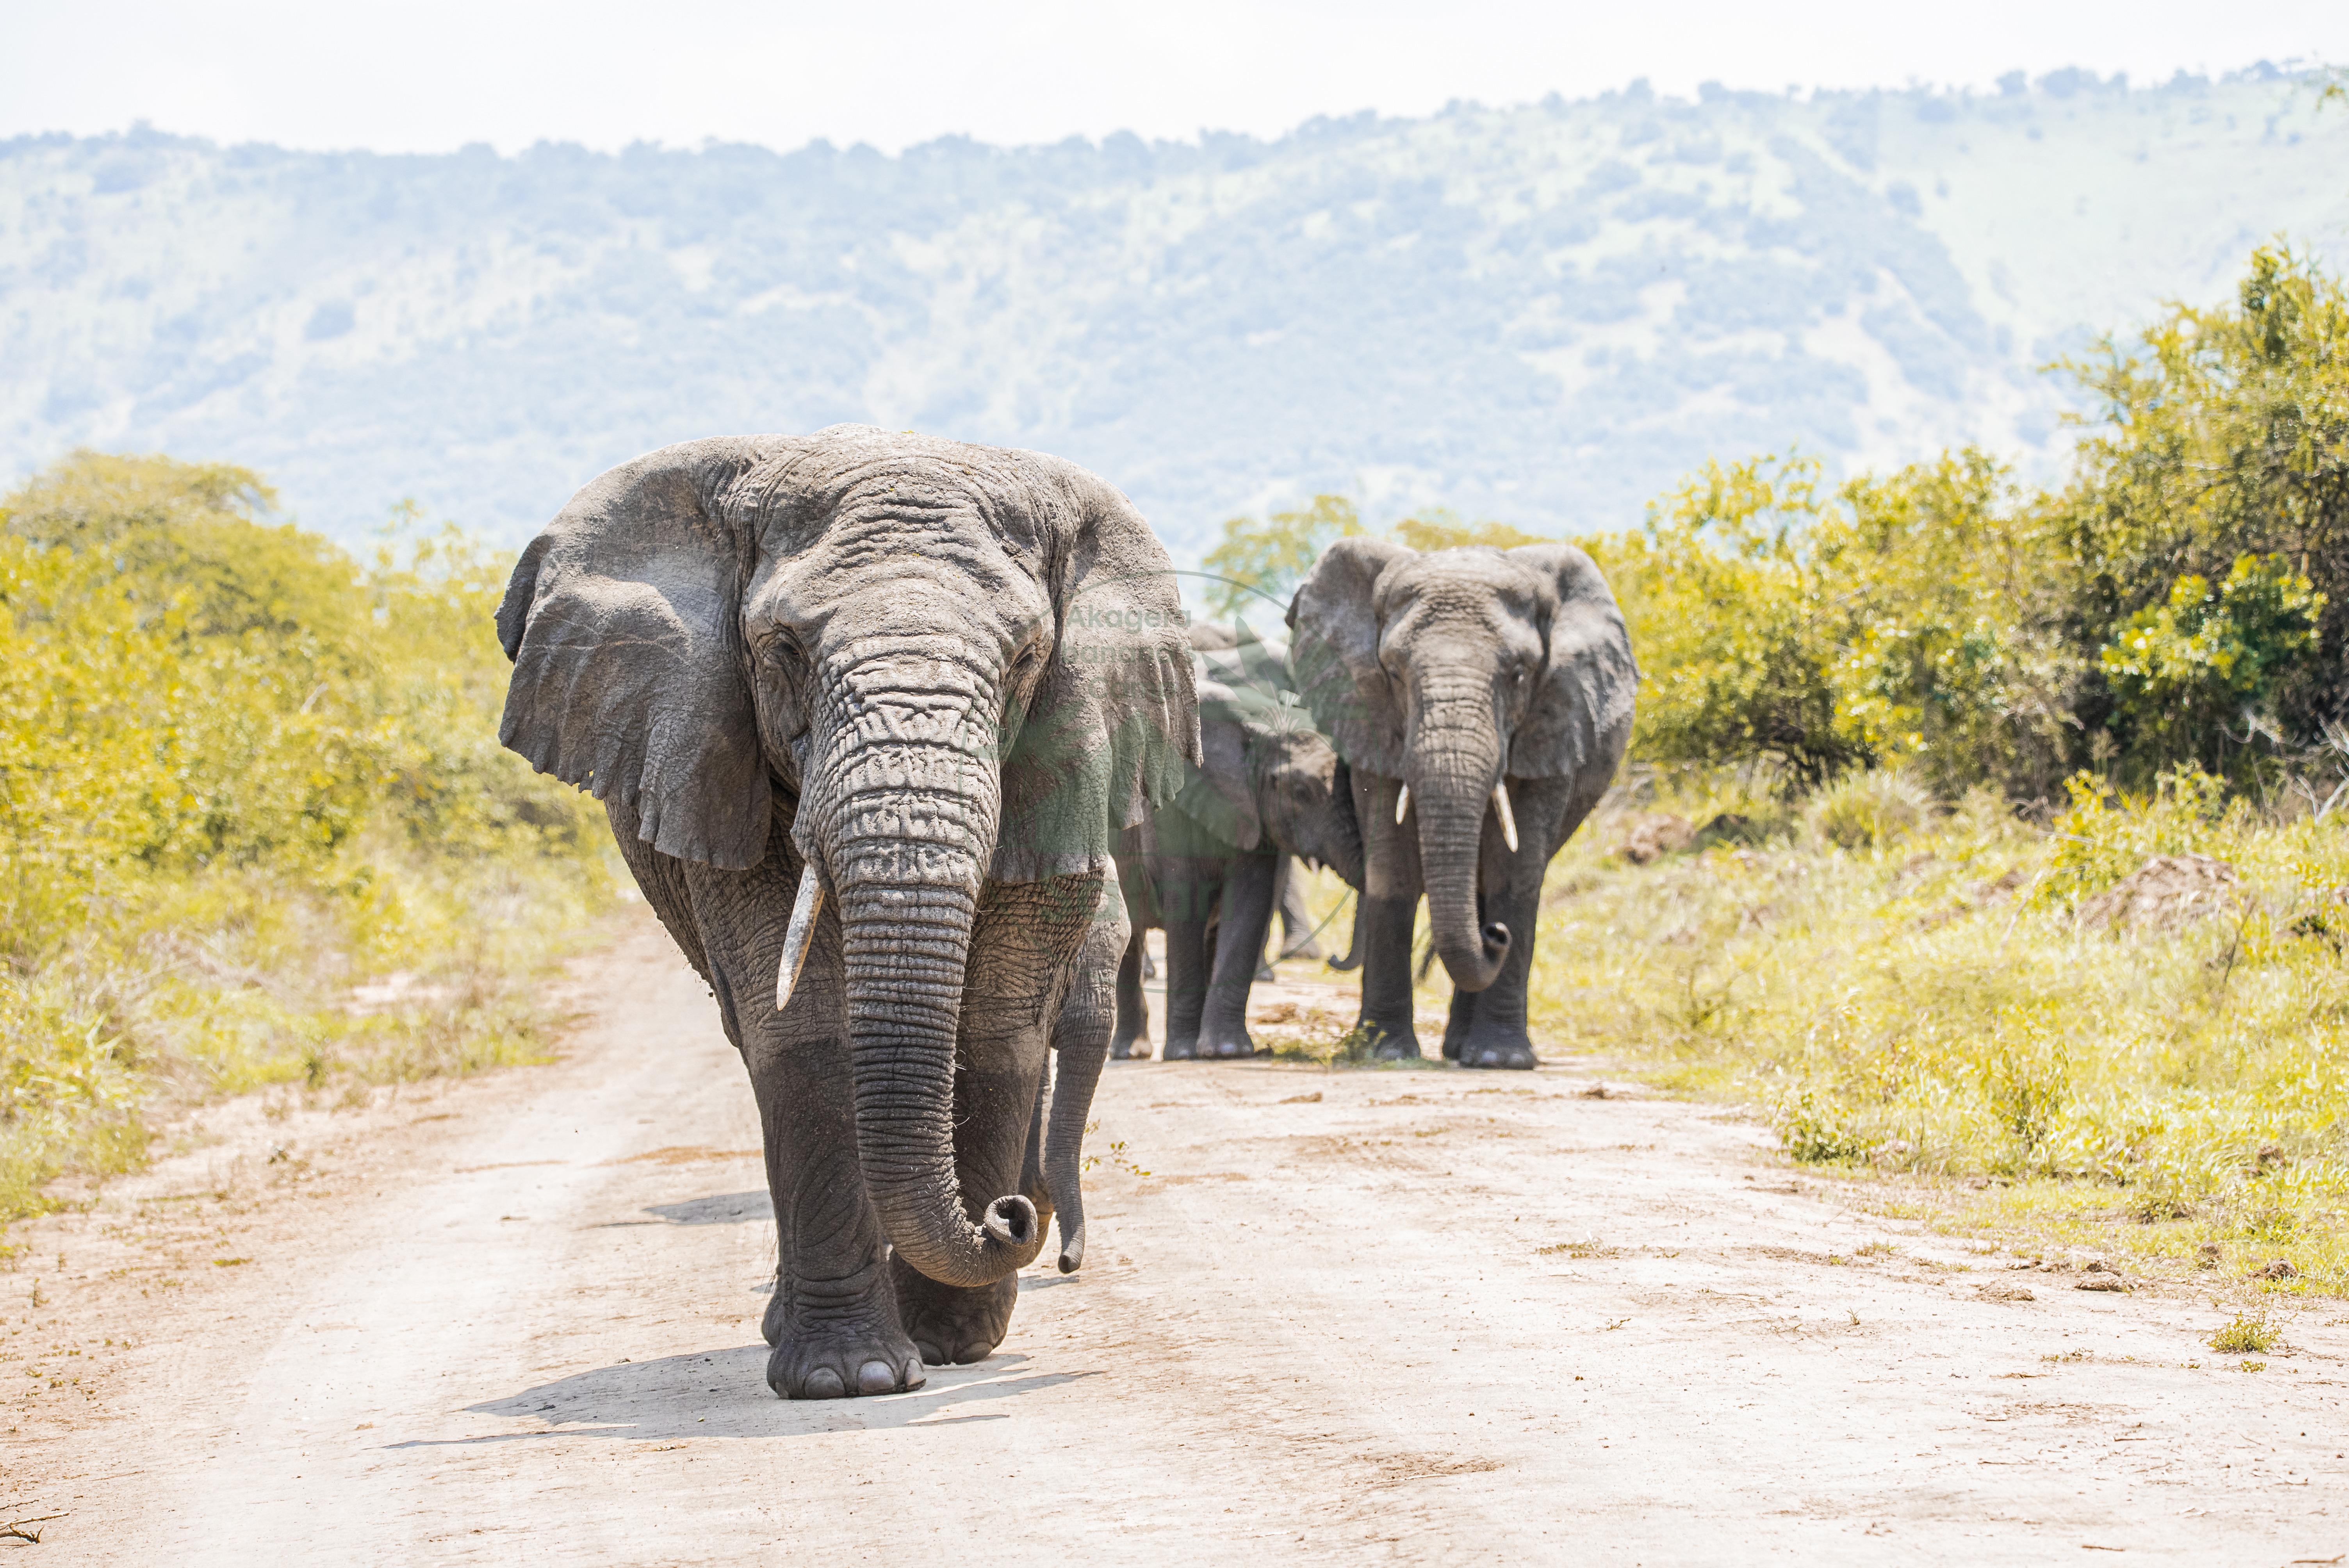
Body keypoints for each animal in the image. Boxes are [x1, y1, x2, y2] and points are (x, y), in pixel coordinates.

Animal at [496, 427, 1197, 1398]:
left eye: (1026, 655)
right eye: (782, 646)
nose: (1013, 1218)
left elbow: (995, 1029)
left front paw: (947, 1343)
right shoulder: (715, 755)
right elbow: (804, 1031)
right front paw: (848, 1376)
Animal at [1113, 621, 1364, 1060]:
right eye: (1300, 791)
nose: (1335, 959)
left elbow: (1249, 900)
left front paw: (1227, 1051)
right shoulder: (1174, 805)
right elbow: (1187, 899)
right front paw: (1184, 1054)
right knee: (1131, 930)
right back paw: (1132, 1052)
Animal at [1287, 538, 1636, 1069]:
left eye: (1519, 675)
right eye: (1393, 672)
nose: (1495, 935)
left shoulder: (1553, 722)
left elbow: (1515, 873)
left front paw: (1503, 1060)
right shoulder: (1373, 721)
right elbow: (1392, 869)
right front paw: (1385, 1053)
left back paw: (1469, 1049)